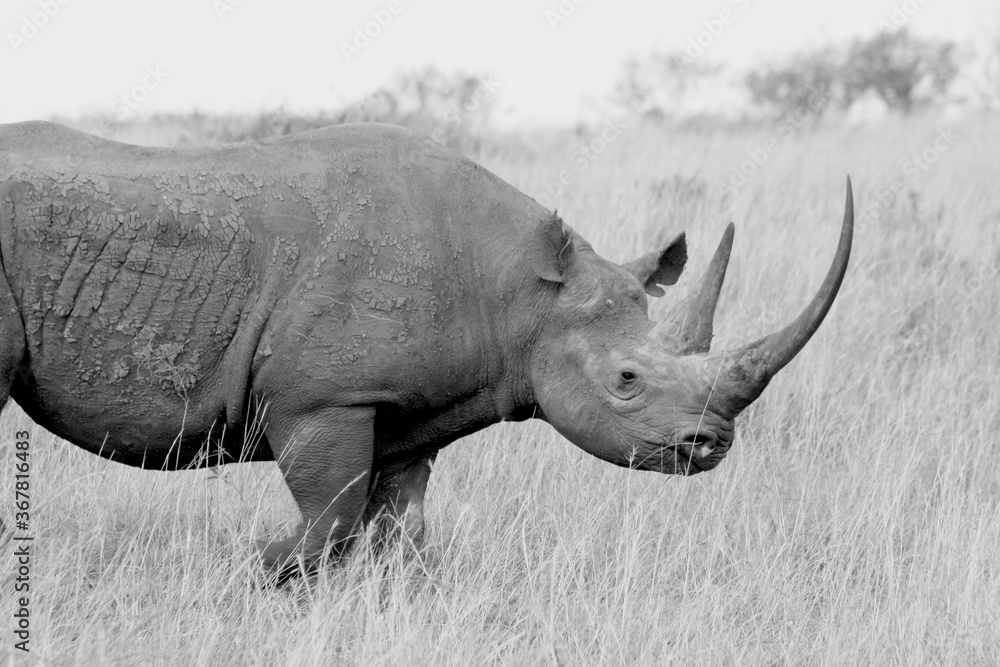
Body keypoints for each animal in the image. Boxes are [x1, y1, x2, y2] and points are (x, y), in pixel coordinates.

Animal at [0, 121, 852, 577]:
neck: (520, 290)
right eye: (627, 378)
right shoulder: (323, 398)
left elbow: (399, 533)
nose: (711, 443)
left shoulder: (407, 411)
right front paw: (254, 567)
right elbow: (331, 517)